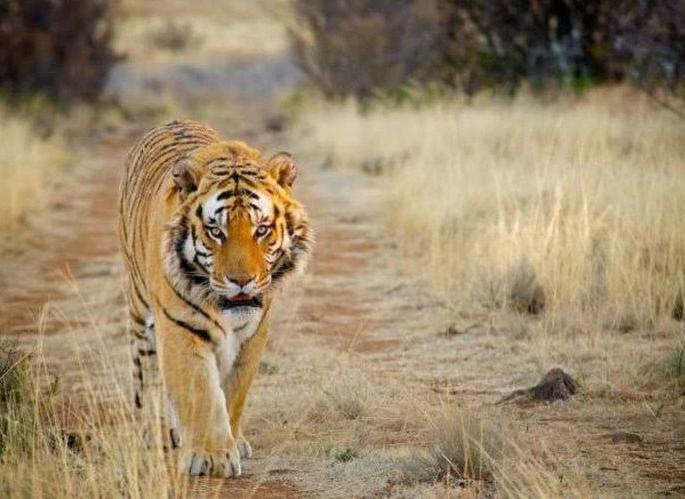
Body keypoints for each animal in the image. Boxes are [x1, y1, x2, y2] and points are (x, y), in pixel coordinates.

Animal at [117, 120, 312, 477]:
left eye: (261, 230)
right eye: (215, 231)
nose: (242, 281)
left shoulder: (255, 333)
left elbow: (233, 391)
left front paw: (233, 442)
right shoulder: (180, 325)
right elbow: (200, 390)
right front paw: (211, 457)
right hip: (139, 309)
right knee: (147, 374)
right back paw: (155, 431)